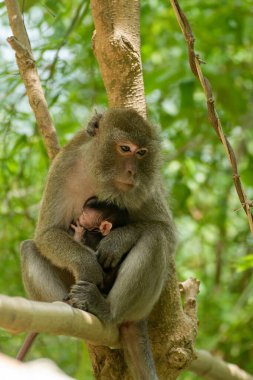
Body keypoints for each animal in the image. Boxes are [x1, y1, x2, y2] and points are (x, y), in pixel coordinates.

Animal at [20, 107, 176, 380]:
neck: (99, 174)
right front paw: (88, 265)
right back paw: (69, 307)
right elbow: (46, 233)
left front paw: (116, 241)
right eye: (124, 148)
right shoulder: (63, 165)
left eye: (142, 153)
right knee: (29, 248)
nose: (132, 172)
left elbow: (165, 231)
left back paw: (106, 310)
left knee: (156, 239)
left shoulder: (147, 185)